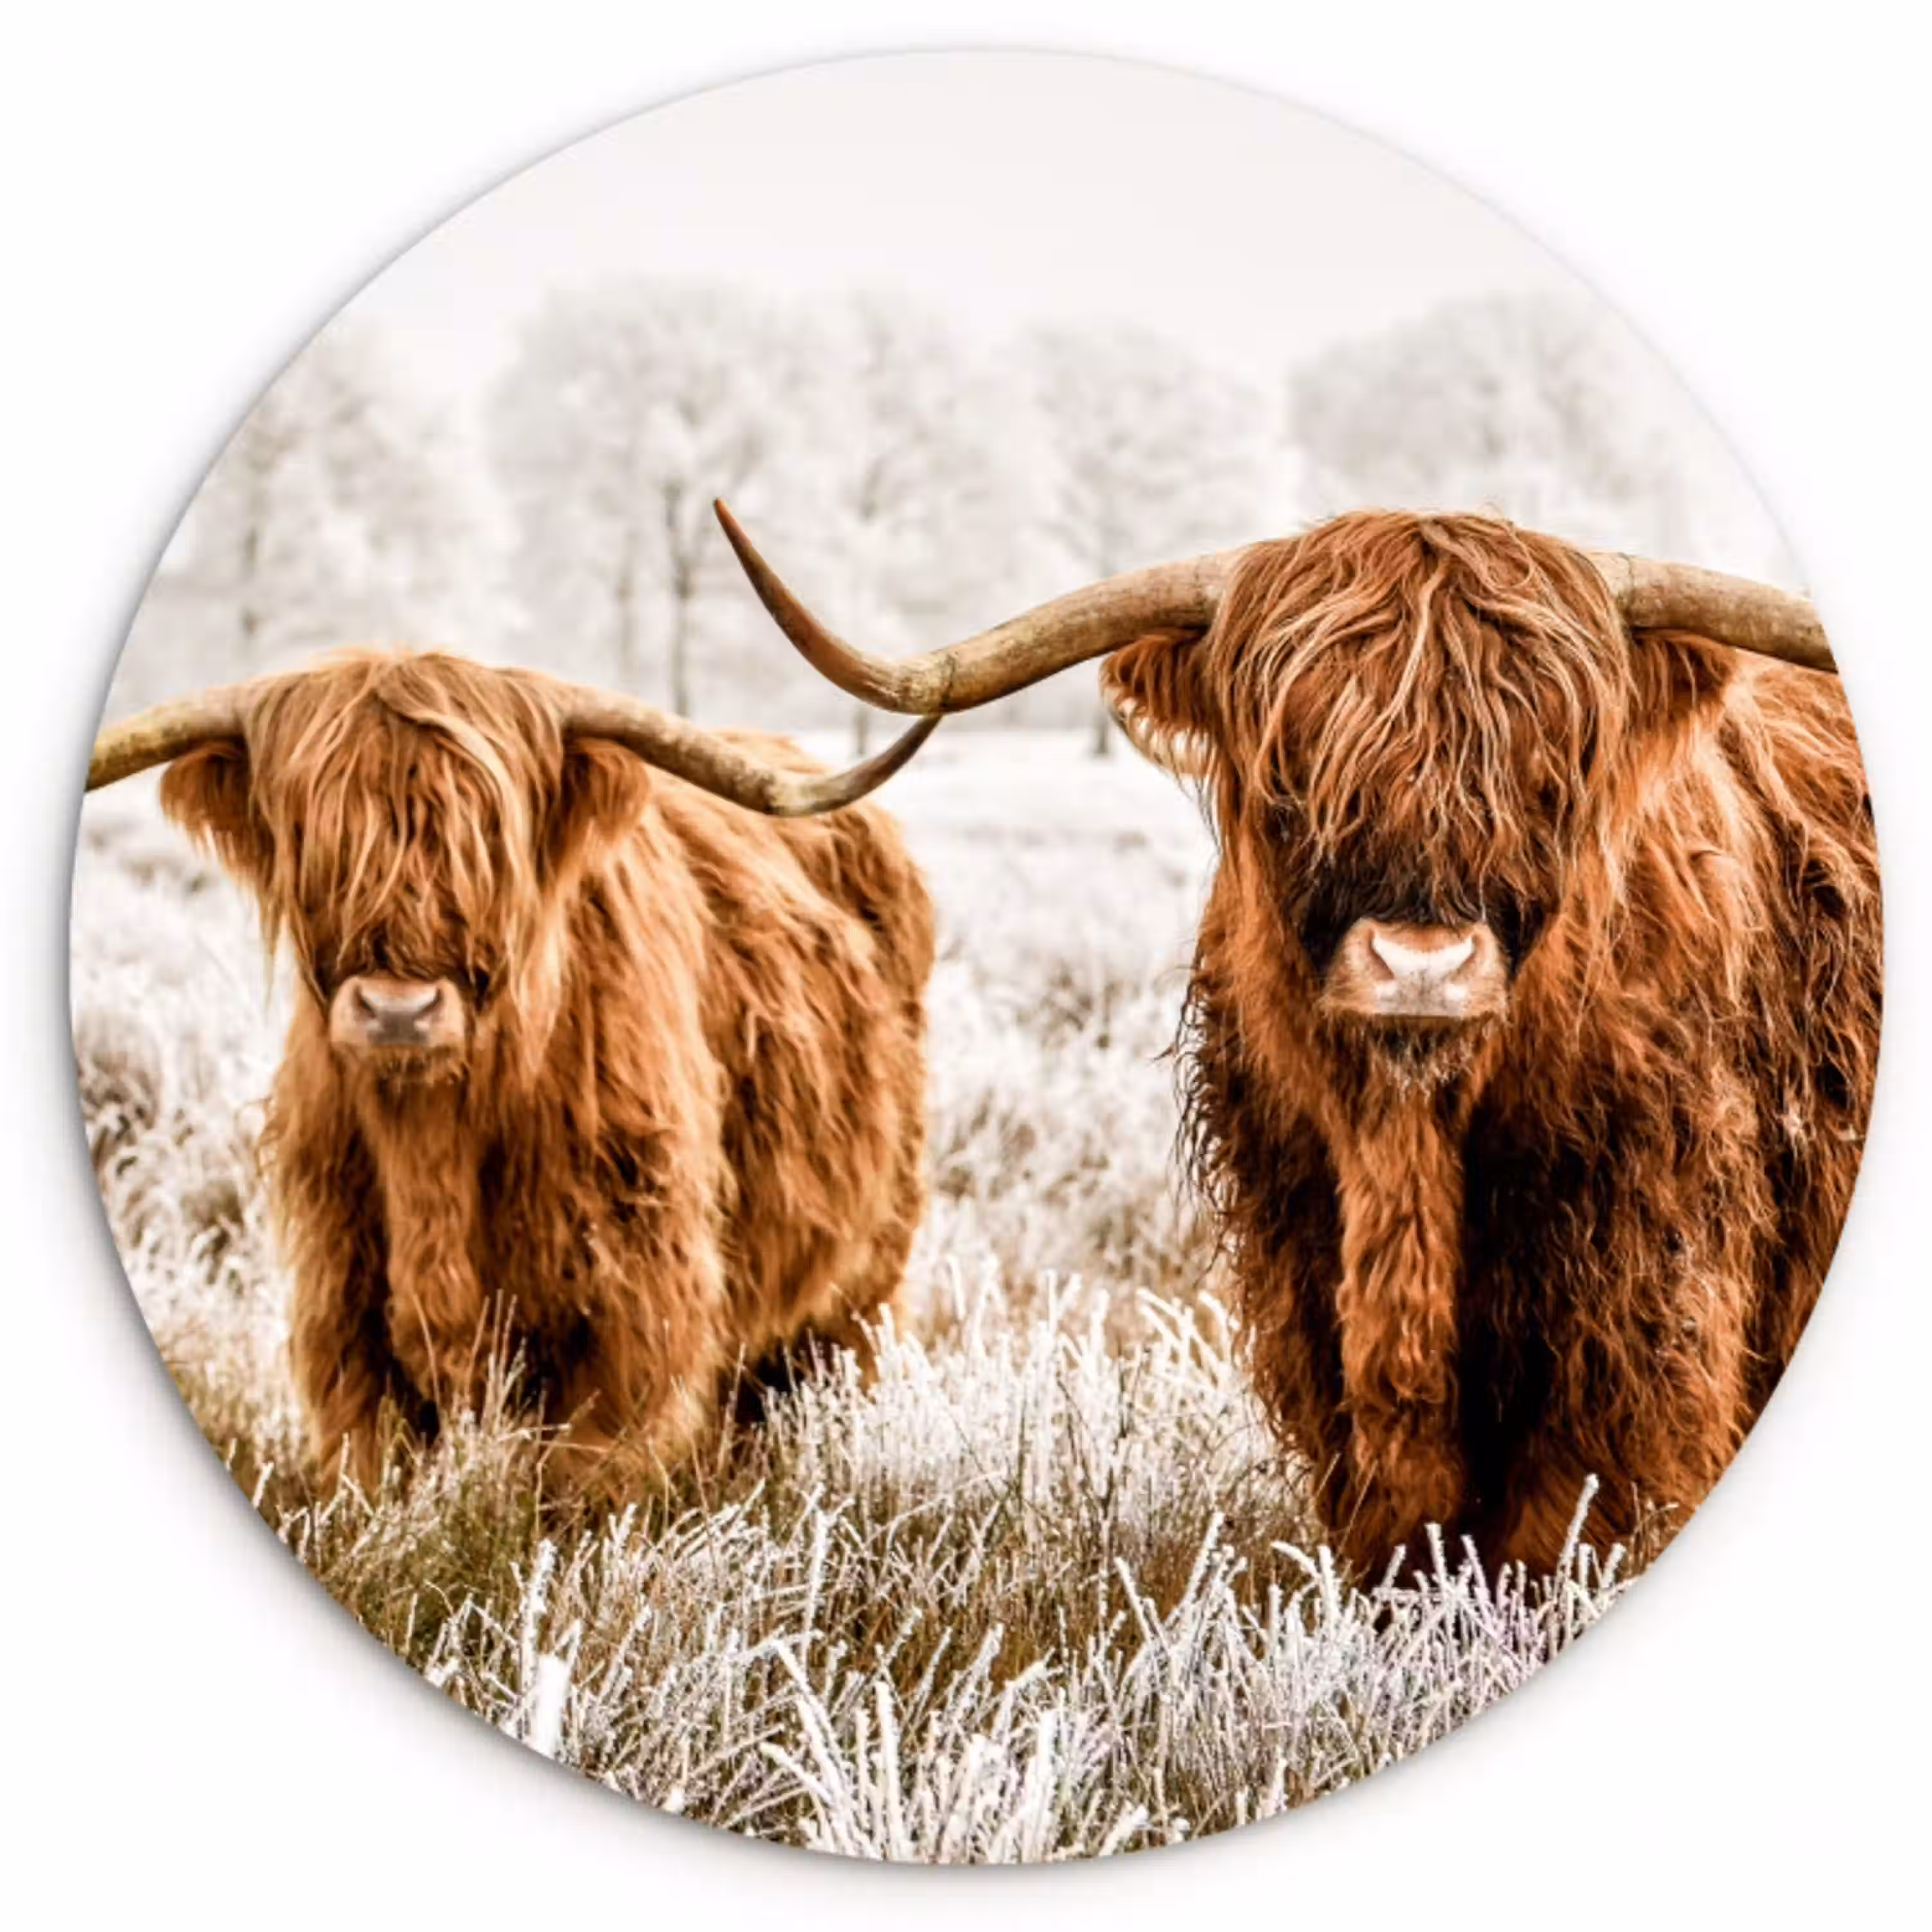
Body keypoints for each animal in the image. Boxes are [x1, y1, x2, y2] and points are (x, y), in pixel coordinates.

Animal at [86, 651, 941, 1498]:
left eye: (489, 842)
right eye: (313, 836)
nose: (399, 1012)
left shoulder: (632, 1303)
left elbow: (586, 1478)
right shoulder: (343, 1304)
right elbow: (374, 1465)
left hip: (863, 1277)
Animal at [714, 499, 1881, 1577]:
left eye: (1551, 772)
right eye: (1294, 773)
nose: (1422, 965)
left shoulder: (1642, 1318)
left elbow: (1567, 1530)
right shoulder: (1306, 1284)